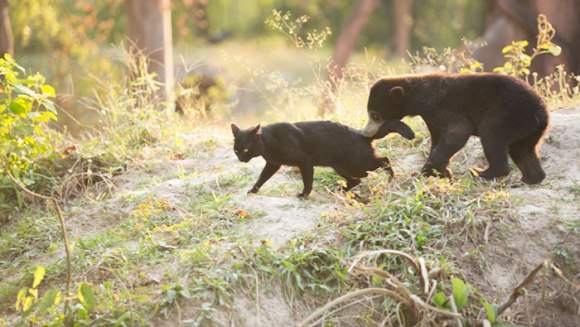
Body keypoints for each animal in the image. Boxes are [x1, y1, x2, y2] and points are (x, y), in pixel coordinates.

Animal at [229, 120, 414, 197]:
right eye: (236, 151)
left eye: (245, 149)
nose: (241, 159)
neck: (268, 141)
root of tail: (362, 134)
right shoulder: (273, 164)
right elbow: (261, 178)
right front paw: (253, 190)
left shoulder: (304, 161)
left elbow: (307, 180)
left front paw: (304, 194)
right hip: (341, 166)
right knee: (356, 180)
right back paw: (339, 190)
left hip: (357, 164)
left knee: (385, 159)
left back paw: (391, 179)